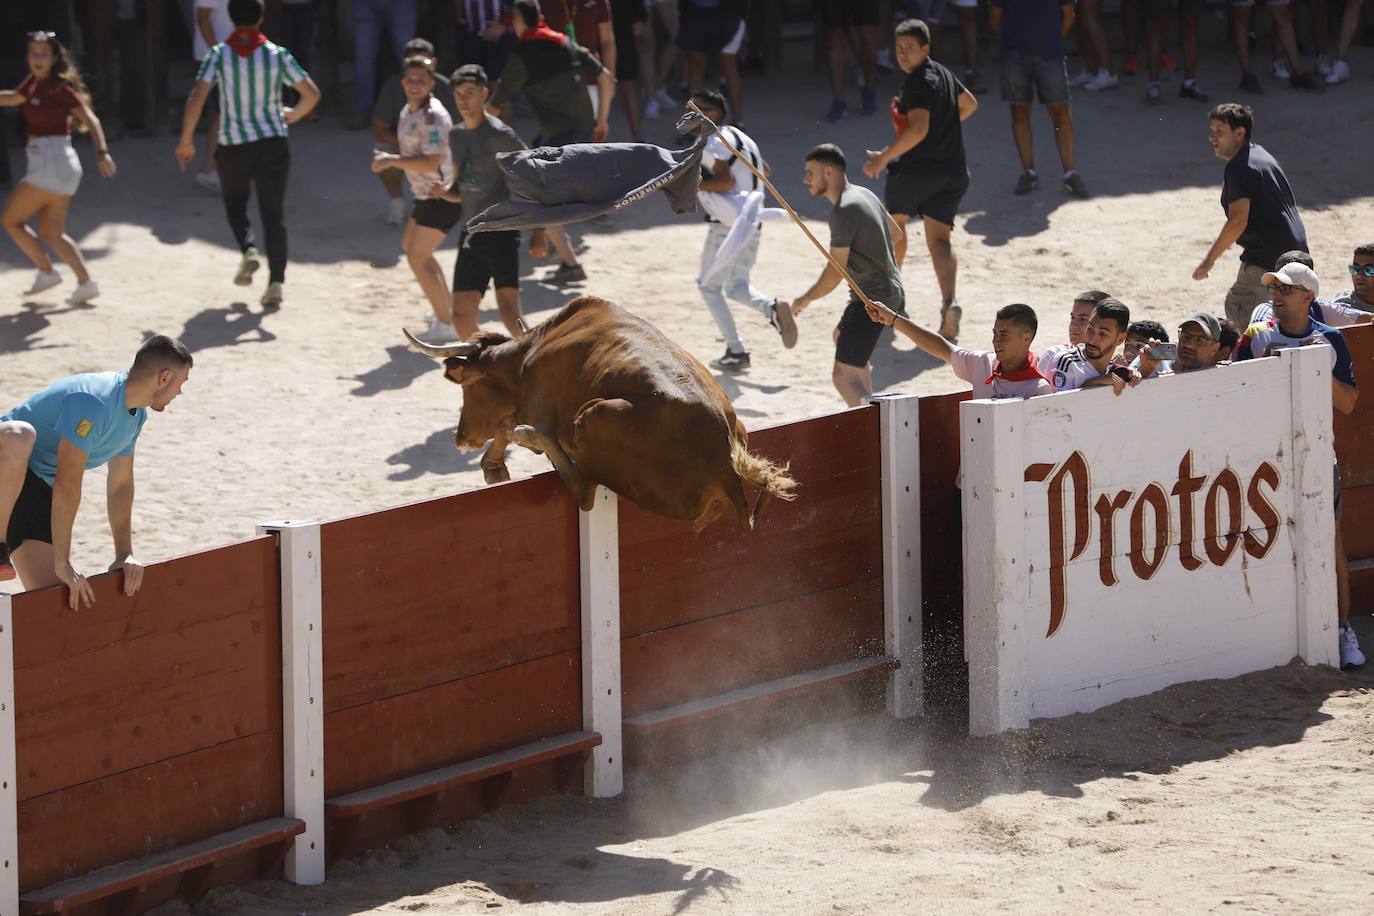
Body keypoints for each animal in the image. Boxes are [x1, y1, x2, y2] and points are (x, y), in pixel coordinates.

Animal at [403, 298, 796, 532]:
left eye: (468, 388)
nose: (460, 438)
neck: (529, 352)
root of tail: (725, 464)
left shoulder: (534, 402)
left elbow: (507, 425)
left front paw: (496, 460)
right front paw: (494, 464)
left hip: (592, 417)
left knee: (584, 490)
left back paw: (530, 434)